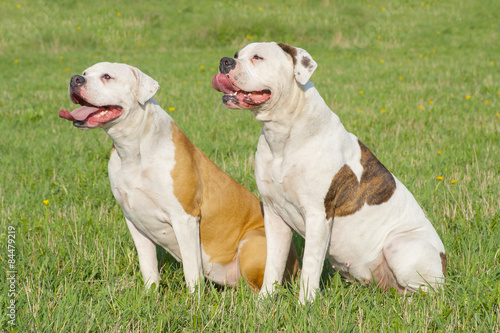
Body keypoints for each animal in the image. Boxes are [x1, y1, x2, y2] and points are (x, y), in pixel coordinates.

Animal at [60, 61, 298, 290]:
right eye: (85, 72)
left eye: (107, 76)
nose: (75, 79)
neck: (134, 149)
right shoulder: (134, 221)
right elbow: (148, 266)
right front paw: (151, 295)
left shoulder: (184, 218)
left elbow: (191, 270)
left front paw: (194, 300)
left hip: (252, 240)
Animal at [213, 42, 448, 302]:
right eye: (237, 55)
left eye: (258, 57)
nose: (225, 61)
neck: (284, 134)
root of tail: (444, 263)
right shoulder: (274, 214)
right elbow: (273, 263)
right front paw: (264, 302)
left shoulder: (317, 216)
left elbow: (311, 265)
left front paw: (305, 304)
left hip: (401, 246)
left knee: (429, 293)